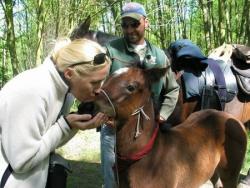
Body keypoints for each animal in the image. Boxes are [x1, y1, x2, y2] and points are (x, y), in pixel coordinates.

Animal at [94, 66, 248, 188]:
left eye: (131, 87)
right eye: (107, 78)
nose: (91, 105)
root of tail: (233, 119)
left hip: (230, 173)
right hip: (212, 170)